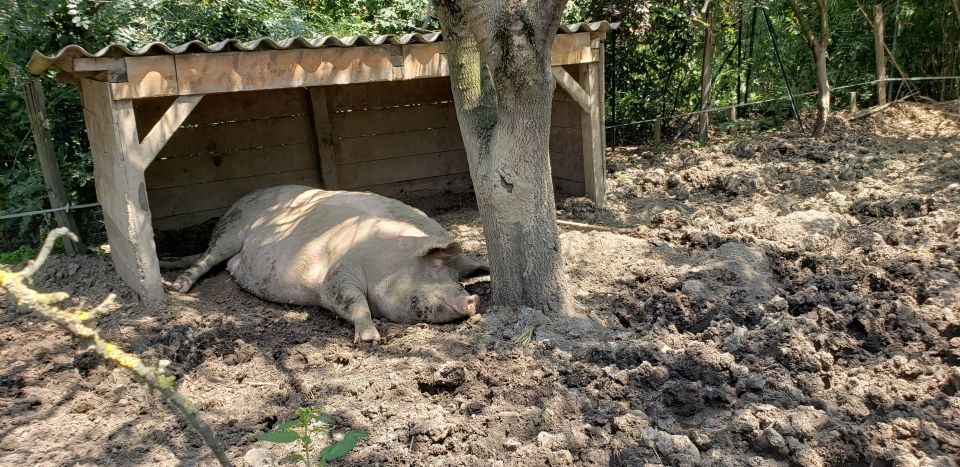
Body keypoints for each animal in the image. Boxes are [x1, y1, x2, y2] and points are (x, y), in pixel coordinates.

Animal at [165, 185, 488, 342]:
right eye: (435, 267)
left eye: (459, 277)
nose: (473, 299)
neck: (387, 258)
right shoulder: (337, 275)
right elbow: (351, 301)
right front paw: (370, 340)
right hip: (231, 231)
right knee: (207, 258)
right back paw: (179, 288)